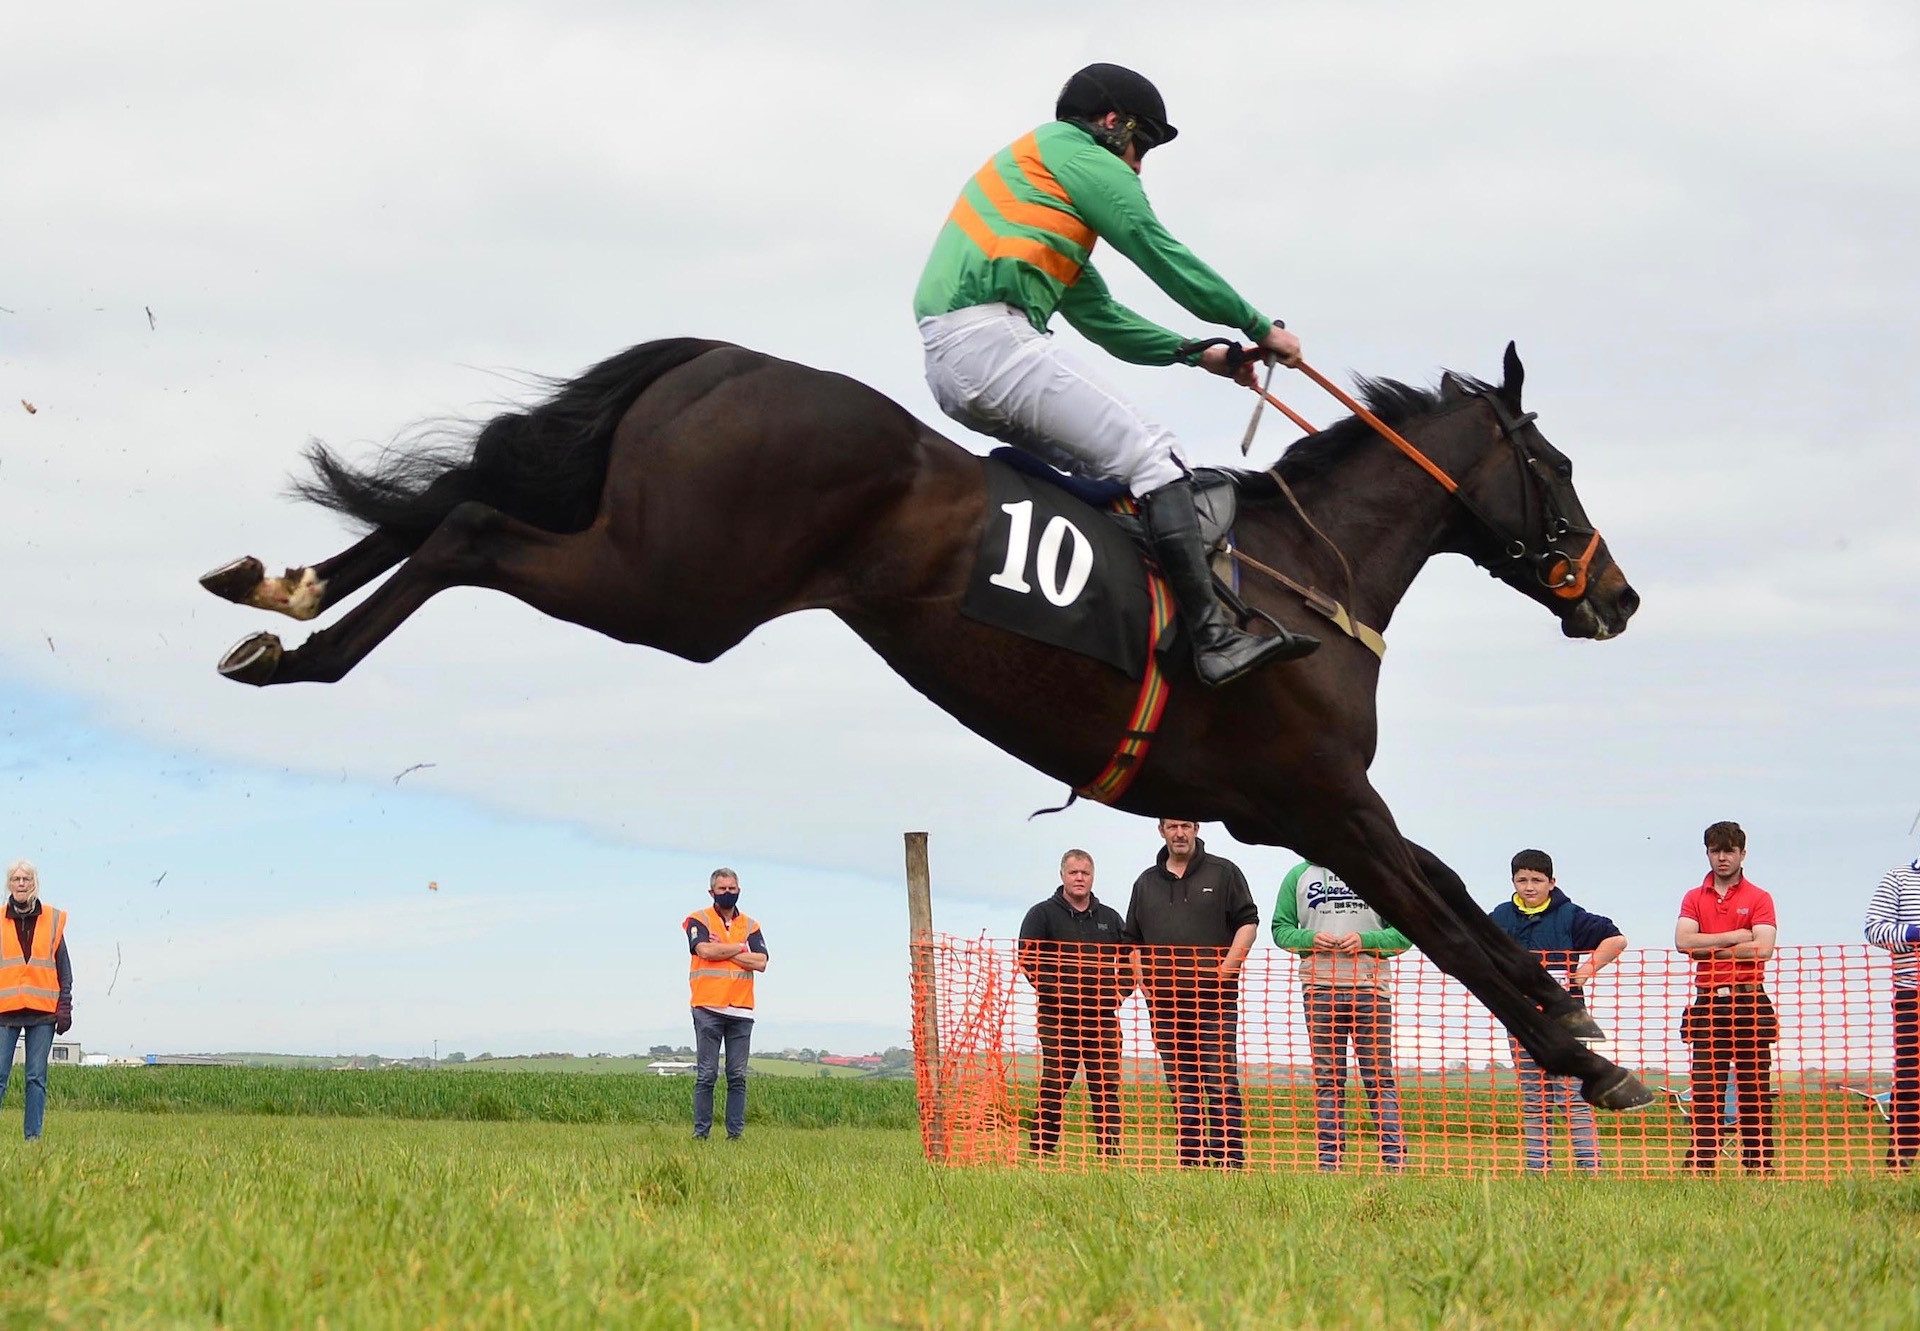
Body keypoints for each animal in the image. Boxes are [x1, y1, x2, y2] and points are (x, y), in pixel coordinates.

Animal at [202, 334, 1658, 1113]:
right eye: (1558, 465)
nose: (1621, 596)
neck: (1308, 575)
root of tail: (722, 358)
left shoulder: (1307, 806)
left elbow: (1456, 893)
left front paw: (1573, 1015)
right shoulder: (1321, 798)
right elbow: (1446, 915)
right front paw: (1583, 1052)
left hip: (653, 555)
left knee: (468, 498)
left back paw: (278, 592)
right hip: (674, 584)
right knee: (470, 525)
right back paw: (301, 650)